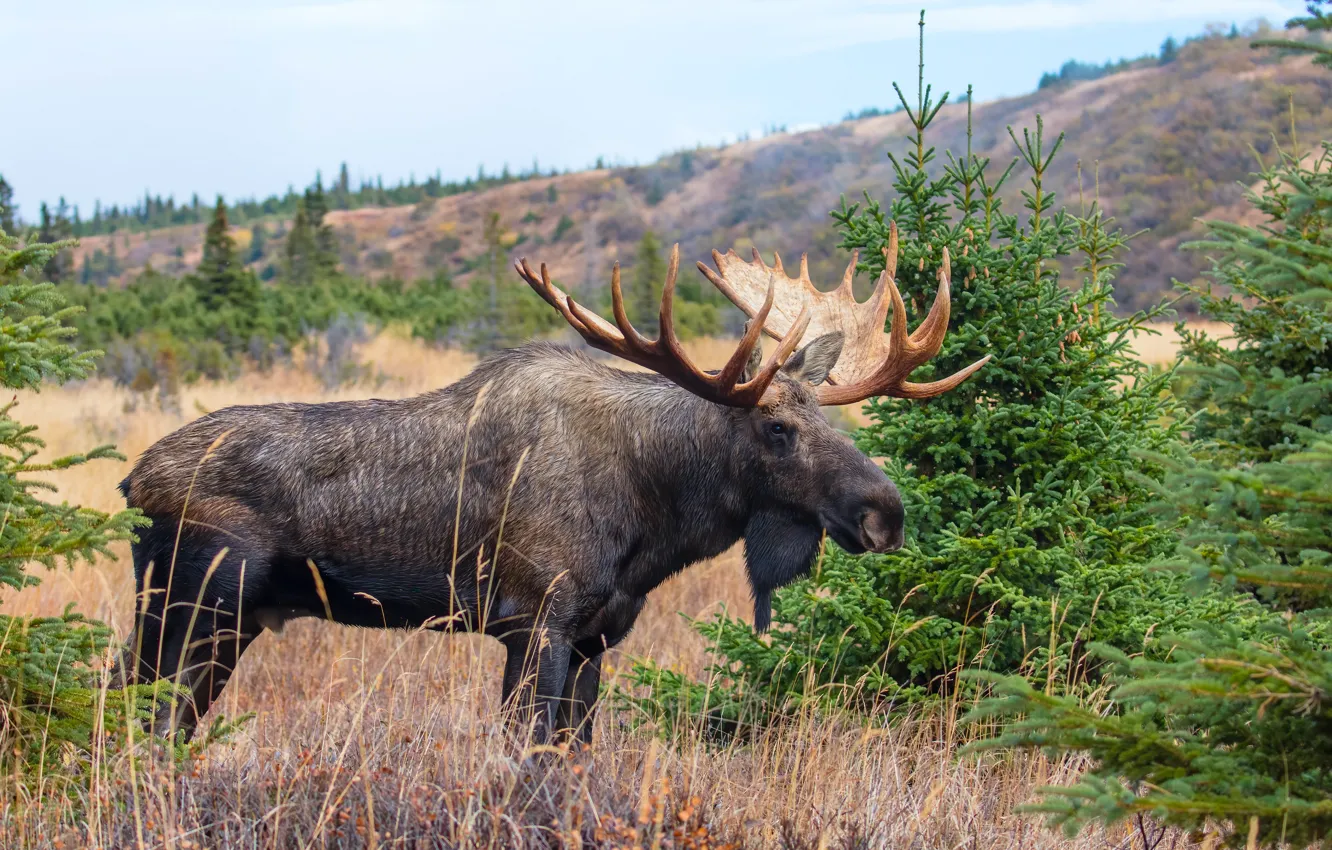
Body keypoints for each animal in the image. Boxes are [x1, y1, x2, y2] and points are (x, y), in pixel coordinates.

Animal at [112, 223, 988, 745]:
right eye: (776, 429)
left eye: (836, 420)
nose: (885, 515)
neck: (655, 518)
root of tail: (130, 484)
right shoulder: (532, 620)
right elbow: (528, 755)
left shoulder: (598, 634)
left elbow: (574, 752)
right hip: (190, 603)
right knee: (132, 710)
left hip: (225, 622)